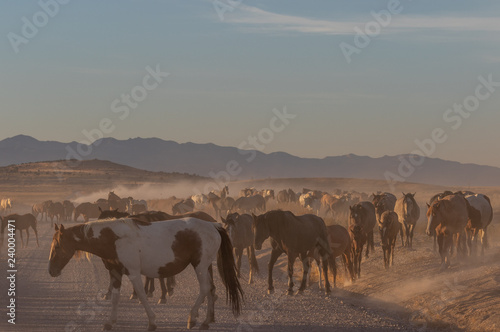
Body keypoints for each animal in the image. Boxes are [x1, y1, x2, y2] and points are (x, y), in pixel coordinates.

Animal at [47, 218, 243, 330]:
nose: (51, 271)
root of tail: (214, 225)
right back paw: (206, 321)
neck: (114, 238)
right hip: (206, 266)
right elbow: (115, 298)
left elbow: (141, 294)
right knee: (211, 289)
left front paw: (152, 322)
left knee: (204, 289)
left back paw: (192, 318)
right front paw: (110, 322)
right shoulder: (116, 273)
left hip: (200, 265)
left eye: (57, 246)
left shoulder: (133, 272)